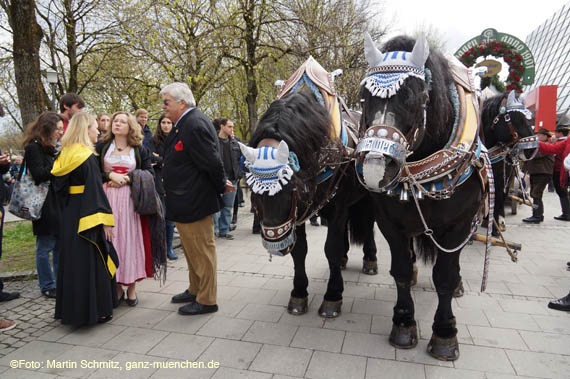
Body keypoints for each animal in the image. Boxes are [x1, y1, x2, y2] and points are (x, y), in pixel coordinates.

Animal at [240, 90, 378, 320]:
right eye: (253, 190)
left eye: (289, 188)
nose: (276, 246)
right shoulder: (298, 213)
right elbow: (300, 251)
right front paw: (298, 293)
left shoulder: (336, 208)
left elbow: (330, 248)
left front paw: (332, 296)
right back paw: (344, 258)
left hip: (368, 196)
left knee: (368, 225)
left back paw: (370, 259)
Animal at [356, 36, 488, 362]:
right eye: (364, 97)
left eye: (415, 98)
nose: (376, 167)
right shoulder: (389, 223)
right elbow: (401, 270)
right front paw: (403, 323)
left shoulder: (458, 225)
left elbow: (444, 276)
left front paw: (445, 333)